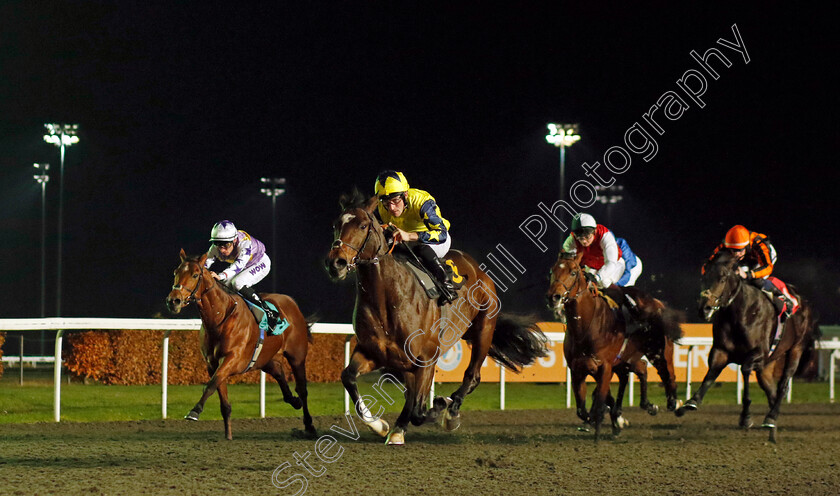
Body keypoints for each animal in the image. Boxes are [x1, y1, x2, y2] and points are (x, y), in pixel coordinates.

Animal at [165, 250, 316, 440]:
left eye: (195, 275)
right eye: (175, 272)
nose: (173, 301)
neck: (220, 317)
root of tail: (291, 303)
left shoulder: (233, 358)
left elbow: (211, 384)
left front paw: (195, 411)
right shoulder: (212, 363)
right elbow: (221, 397)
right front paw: (228, 435)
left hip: (297, 356)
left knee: (302, 389)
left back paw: (310, 426)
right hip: (265, 358)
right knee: (279, 371)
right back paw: (294, 401)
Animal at [324, 193, 548, 446]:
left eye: (363, 225)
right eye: (336, 225)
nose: (336, 263)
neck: (388, 299)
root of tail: (479, 271)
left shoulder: (425, 358)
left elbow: (419, 409)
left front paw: (439, 406)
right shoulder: (374, 352)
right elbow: (349, 377)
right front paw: (380, 426)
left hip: (484, 330)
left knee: (472, 376)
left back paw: (451, 411)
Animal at [548, 252, 684, 442]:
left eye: (573, 272)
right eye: (552, 271)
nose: (554, 297)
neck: (586, 327)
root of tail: (657, 303)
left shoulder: (605, 367)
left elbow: (599, 401)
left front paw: (603, 428)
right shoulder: (578, 370)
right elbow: (583, 409)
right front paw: (611, 419)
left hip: (659, 351)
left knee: (668, 373)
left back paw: (675, 403)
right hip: (627, 358)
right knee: (639, 369)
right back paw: (642, 406)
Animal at [676, 252, 820, 442]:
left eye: (722, 279)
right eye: (703, 277)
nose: (704, 309)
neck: (741, 312)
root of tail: (805, 303)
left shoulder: (758, 352)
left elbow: (744, 370)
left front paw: (746, 417)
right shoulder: (721, 350)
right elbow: (711, 374)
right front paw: (690, 402)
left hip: (796, 349)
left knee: (783, 385)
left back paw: (771, 417)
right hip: (768, 365)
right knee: (772, 392)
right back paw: (772, 430)